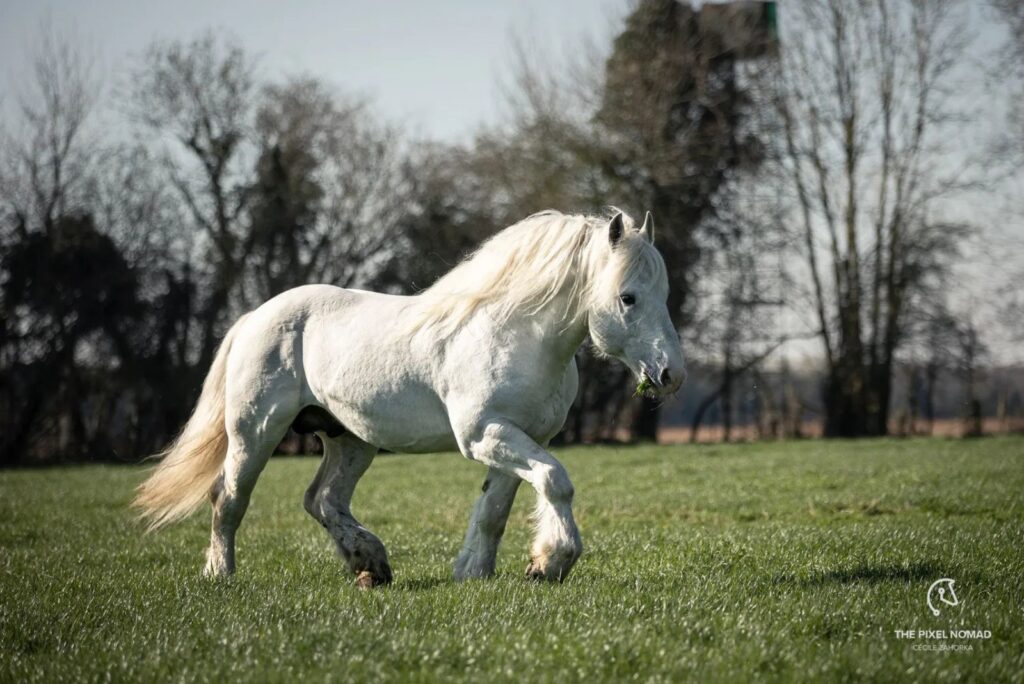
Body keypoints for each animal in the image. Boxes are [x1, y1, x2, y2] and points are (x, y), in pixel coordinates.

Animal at [132, 210, 684, 585]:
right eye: (627, 297)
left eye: (664, 294)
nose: (670, 374)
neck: (515, 334)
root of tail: (253, 317)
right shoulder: (486, 435)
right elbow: (556, 482)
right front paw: (552, 561)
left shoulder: (520, 438)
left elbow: (496, 511)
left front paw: (476, 572)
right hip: (256, 432)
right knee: (228, 498)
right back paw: (221, 573)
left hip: (349, 439)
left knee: (323, 499)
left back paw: (371, 564)